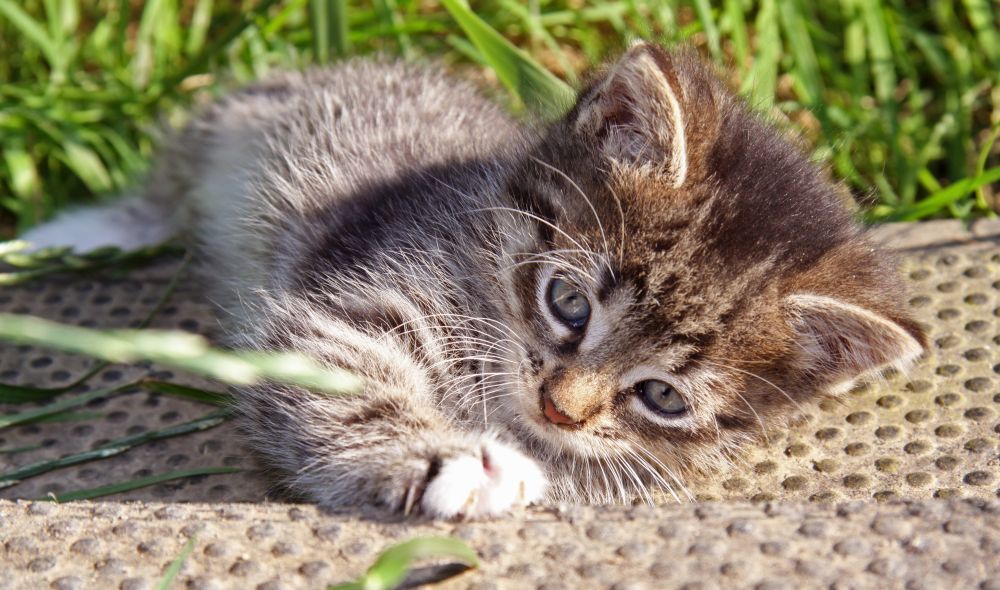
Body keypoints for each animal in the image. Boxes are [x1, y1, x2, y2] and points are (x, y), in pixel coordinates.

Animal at [21, 44, 928, 520]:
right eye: (568, 303)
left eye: (662, 397)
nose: (560, 407)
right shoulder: (347, 302)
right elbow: (344, 385)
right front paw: (451, 461)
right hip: (235, 115)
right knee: (166, 178)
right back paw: (79, 233)